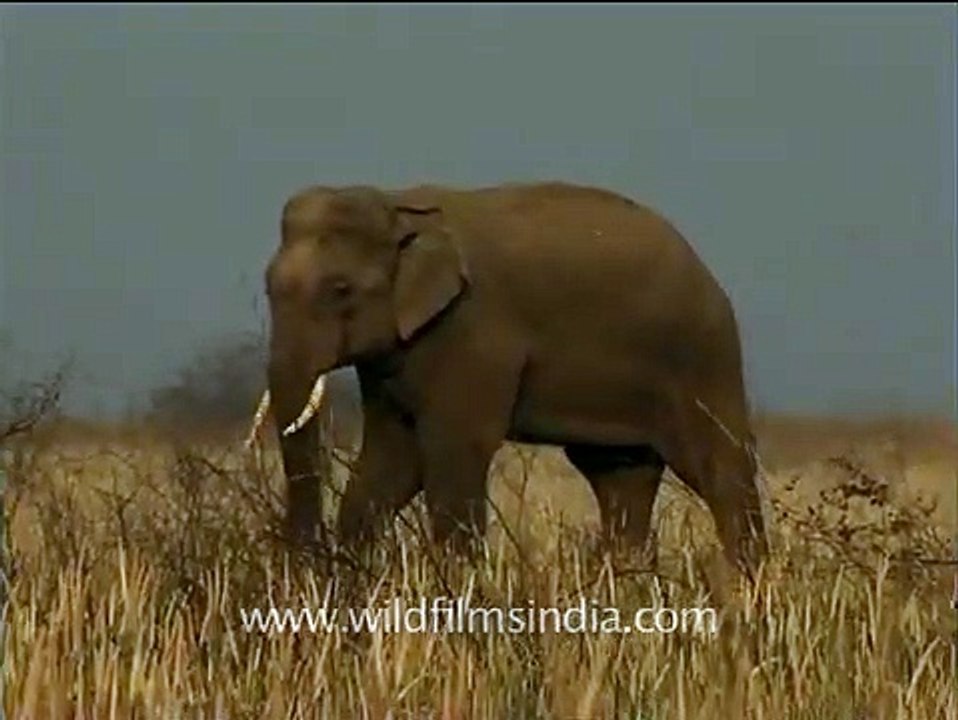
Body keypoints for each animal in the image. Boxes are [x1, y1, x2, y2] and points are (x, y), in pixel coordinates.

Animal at [248, 181, 769, 576]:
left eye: (340, 290)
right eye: (267, 287)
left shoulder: (472, 332)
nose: (306, 564)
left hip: (702, 355)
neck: (397, 204)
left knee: (719, 467)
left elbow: (453, 451)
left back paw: (748, 581)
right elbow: (390, 460)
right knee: (620, 478)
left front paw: (458, 586)